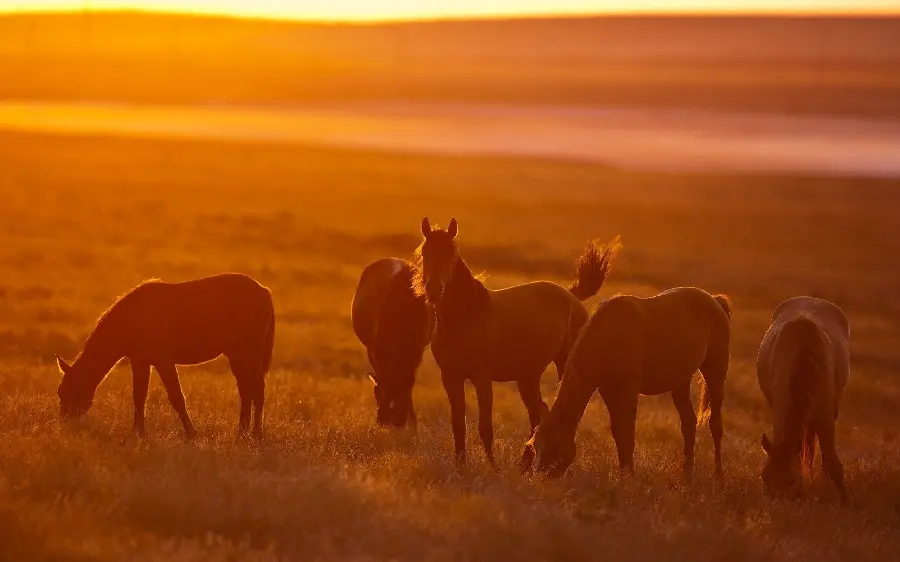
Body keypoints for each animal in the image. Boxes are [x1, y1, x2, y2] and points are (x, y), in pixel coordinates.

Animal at [55, 272, 274, 438]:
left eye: (68, 391)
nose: (65, 423)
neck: (130, 319)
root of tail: (264, 291)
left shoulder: (163, 360)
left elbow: (176, 396)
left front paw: (191, 433)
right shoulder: (140, 361)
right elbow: (139, 396)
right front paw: (138, 433)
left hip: (249, 350)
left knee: (257, 388)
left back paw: (255, 434)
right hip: (236, 353)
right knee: (246, 389)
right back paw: (242, 433)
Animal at [414, 218, 620, 464]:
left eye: (451, 253)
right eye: (425, 252)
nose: (434, 290)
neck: (465, 318)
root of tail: (572, 296)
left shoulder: (481, 378)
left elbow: (485, 427)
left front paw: (493, 468)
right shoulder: (450, 377)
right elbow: (458, 425)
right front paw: (461, 465)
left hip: (562, 365)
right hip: (528, 377)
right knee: (538, 412)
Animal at [520, 286, 732, 480]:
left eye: (552, 449)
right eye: (535, 448)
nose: (541, 479)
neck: (608, 337)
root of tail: (714, 300)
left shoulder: (629, 389)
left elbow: (627, 429)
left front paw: (629, 475)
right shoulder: (608, 390)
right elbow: (617, 430)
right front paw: (623, 471)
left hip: (715, 372)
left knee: (715, 424)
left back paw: (719, 477)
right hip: (680, 382)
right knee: (688, 422)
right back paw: (687, 475)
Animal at [756, 296, 848, 500]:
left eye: (789, 481)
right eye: (764, 477)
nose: (775, 501)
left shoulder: (826, 413)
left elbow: (834, 464)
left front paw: (846, 501)